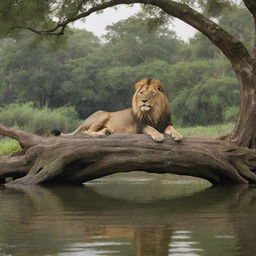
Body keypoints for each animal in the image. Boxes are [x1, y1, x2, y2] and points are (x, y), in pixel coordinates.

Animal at [52, 78, 182, 142]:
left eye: (152, 93)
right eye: (141, 93)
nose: (143, 100)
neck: (154, 112)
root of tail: (84, 121)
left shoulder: (165, 123)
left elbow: (172, 128)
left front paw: (178, 135)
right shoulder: (140, 126)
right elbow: (151, 128)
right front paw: (158, 136)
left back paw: (106, 131)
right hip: (103, 114)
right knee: (87, 131)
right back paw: (101, 134)